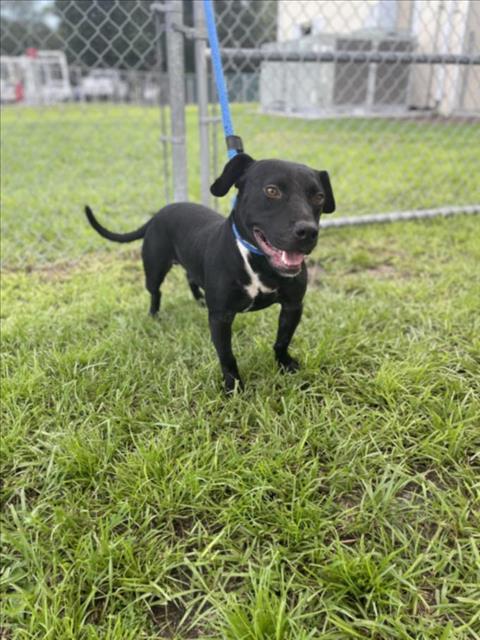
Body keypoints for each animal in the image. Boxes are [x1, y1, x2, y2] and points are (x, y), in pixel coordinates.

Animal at [85, 154, 334, 390]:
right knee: (156, 292)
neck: (256, 261)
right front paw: (233, 387)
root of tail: (157, 214)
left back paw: (199, 300)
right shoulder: (220, 318)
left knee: (191, 278)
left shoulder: (293, 306)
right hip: (154, 270)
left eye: (319, 197)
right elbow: (227, 356)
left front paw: (284, 364)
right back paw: (155, 315)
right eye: (272, 191)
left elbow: (282, 340)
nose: (308, 231)